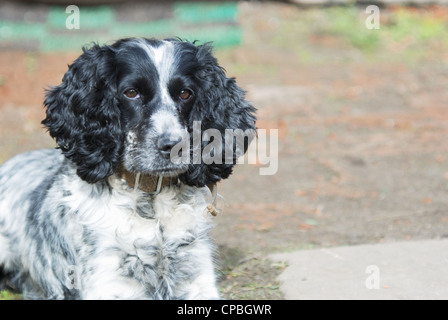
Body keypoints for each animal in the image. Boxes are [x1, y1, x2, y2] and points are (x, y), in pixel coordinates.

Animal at [0, 38, 256, 300]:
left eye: (185, 93)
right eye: (131, 93)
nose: (173, 146)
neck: (151, 204)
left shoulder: (197, 282)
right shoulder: (111, 285)